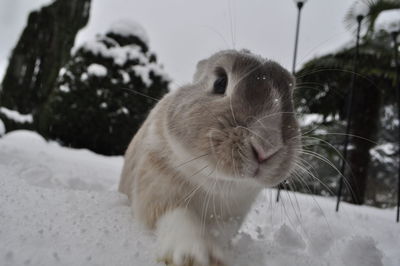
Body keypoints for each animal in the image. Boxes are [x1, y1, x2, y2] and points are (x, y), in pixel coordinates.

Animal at [119, 50, 300, 266]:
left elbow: (221, 232)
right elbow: (179, 216)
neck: (218, 180)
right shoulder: (157, 189)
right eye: (220, 82)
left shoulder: (232, 217)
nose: (267, 147)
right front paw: (197, 256)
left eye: (291, 97)